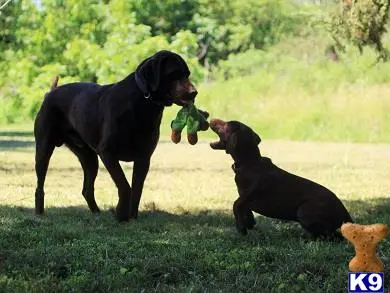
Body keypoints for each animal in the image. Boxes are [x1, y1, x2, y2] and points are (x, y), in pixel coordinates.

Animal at [34, 50, 198, 220]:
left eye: (187, 74)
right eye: (174, 74)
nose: (194, 93)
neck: (142, 101)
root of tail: (50, 93)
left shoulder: (143, 158)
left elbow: (137, 189)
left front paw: (132, 217)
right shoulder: (107, 153)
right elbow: (124, 185)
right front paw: (121, 213)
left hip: (89, 158)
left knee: (87, 190)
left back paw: (97, 213)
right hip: (43, 149)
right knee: (40, 186)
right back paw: (39, 214)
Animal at [210, 118, 354, 237]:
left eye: (227, 124)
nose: (211, 118)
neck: (250, 163)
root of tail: (347, 217)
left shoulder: (251, 193)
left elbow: (236, 204)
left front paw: (241, 228)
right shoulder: (245, 197)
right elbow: (244, 207)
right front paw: (249, 222)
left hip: (304, 212)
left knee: (332, 236)